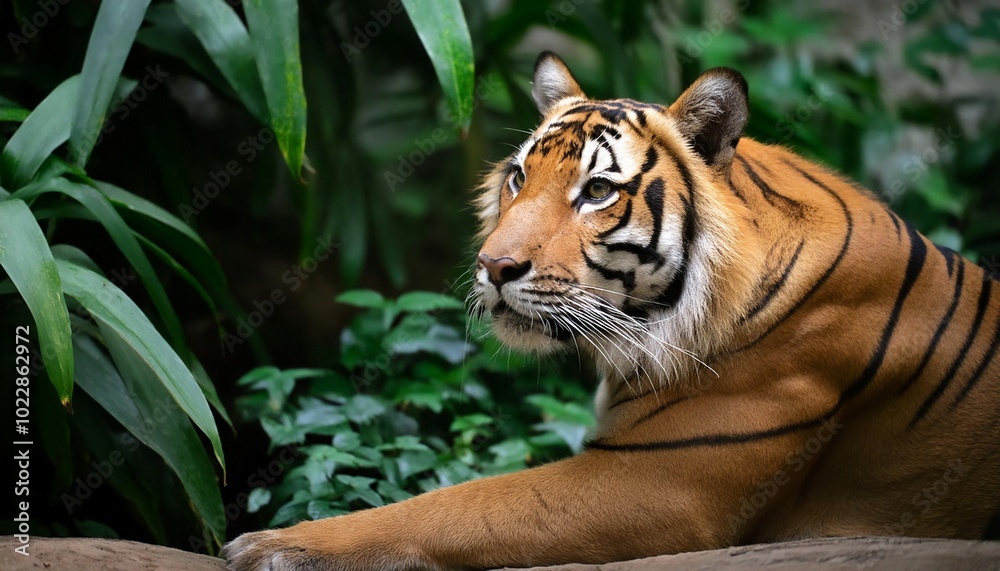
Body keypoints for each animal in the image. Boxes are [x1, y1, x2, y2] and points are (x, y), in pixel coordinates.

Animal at [224, 51, 1000, 570]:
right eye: (518, 177)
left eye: (597, 191)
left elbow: (452, 504)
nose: (493, 266)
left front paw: (275, 544)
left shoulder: (654, 480)